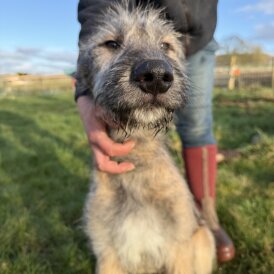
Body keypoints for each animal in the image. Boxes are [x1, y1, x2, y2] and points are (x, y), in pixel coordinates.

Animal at [77, 1, 216, 272]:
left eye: (165, 46)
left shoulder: (180, 249)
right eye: (111, 43)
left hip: (204, 237)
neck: (136, 165)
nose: (156, 76)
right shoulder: (107, 254)